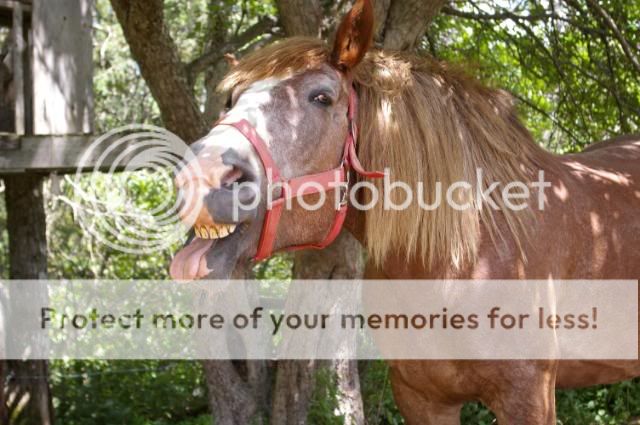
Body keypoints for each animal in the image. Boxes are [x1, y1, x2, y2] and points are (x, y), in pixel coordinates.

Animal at [172, 0, 640, 420]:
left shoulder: (527, 397)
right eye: (231, 99)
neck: (462, 254)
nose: (199, 177)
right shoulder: (420, 397)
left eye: (321, 97)